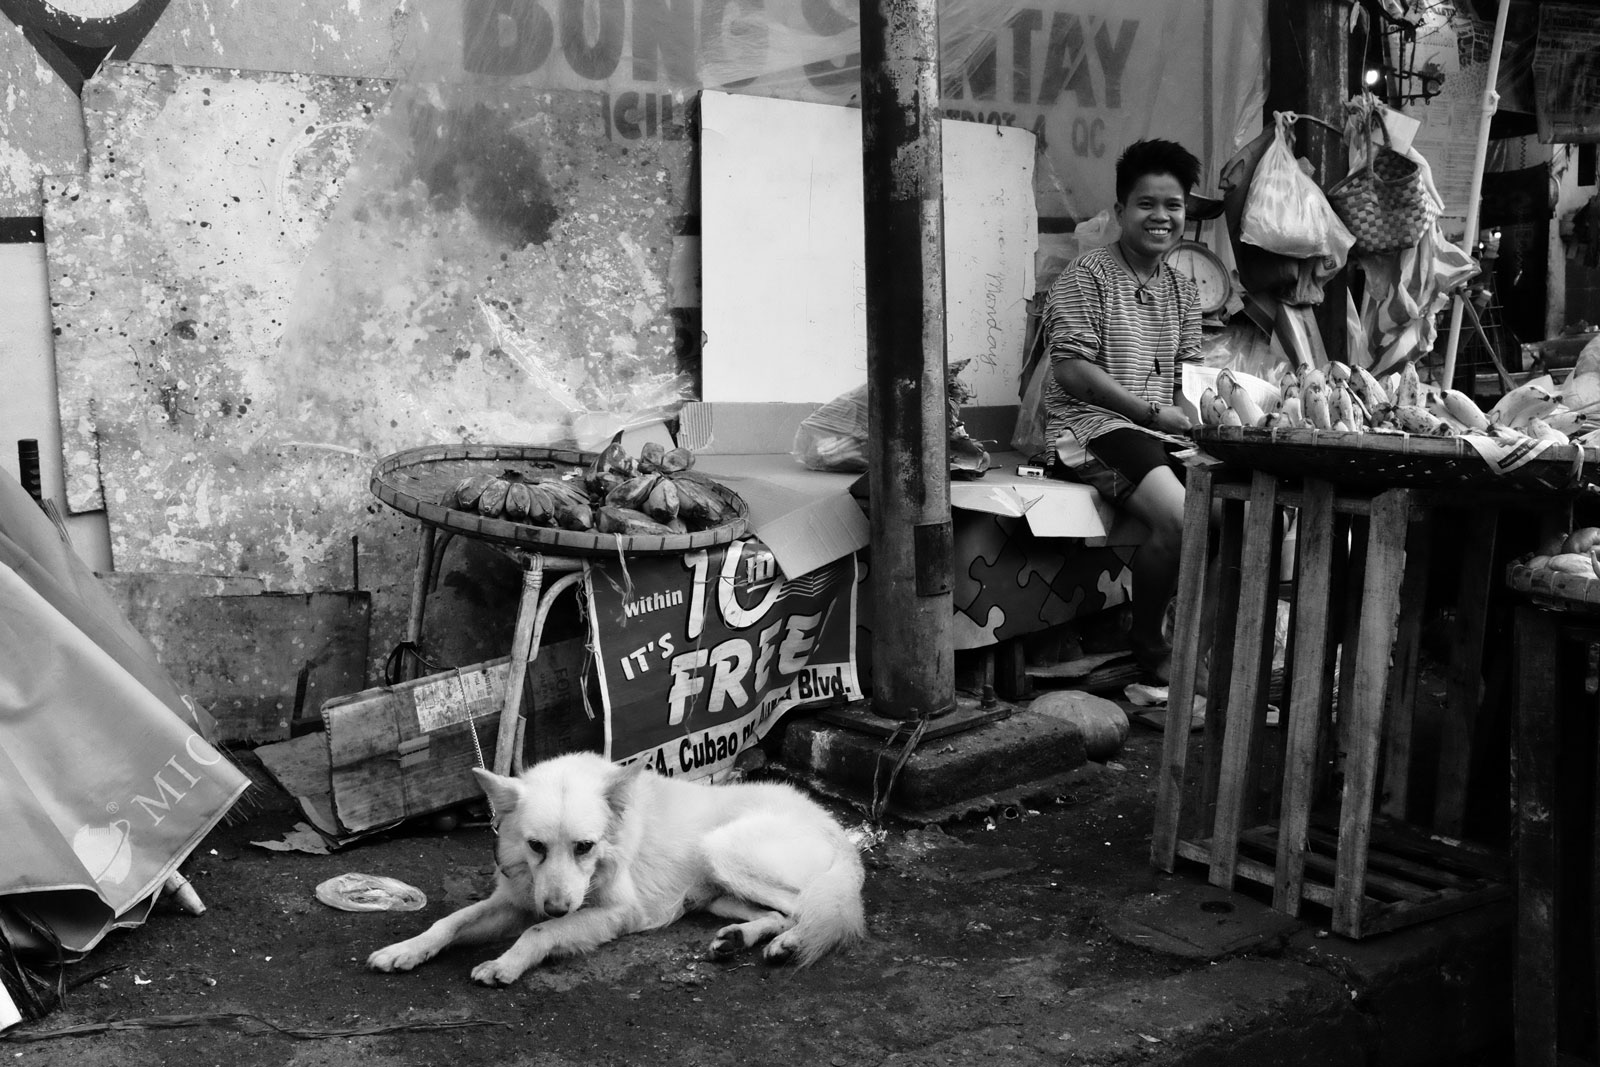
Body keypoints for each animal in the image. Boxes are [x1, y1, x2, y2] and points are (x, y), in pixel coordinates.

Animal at [366, 751, 864, 985]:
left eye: (584, 847)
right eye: (536, 846)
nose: (557, 907)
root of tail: (835, 828)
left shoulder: (618, 912)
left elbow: (541, 932)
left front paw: (506, 963)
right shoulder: (517, 900)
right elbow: (449, 922)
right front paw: (405, 950)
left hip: (724, 850)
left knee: (808, 908)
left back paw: (790, 943)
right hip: (717, 895)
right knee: (778, 913)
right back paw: (739, 939)